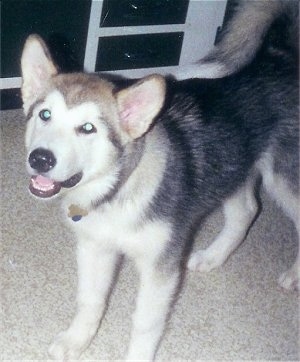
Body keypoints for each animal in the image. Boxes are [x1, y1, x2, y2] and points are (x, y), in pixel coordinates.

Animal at [21, 1, 298, 360]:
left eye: (87, 128)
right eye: (45, 115)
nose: (40, 158)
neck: (118, 191)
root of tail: (280, 55)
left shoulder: (160, 267)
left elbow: (145, 323)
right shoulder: (94, 247)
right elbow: (90, 300)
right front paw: (76, 340)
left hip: (284, 177)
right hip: (232, 168)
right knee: (247, 211)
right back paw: (212, 257)